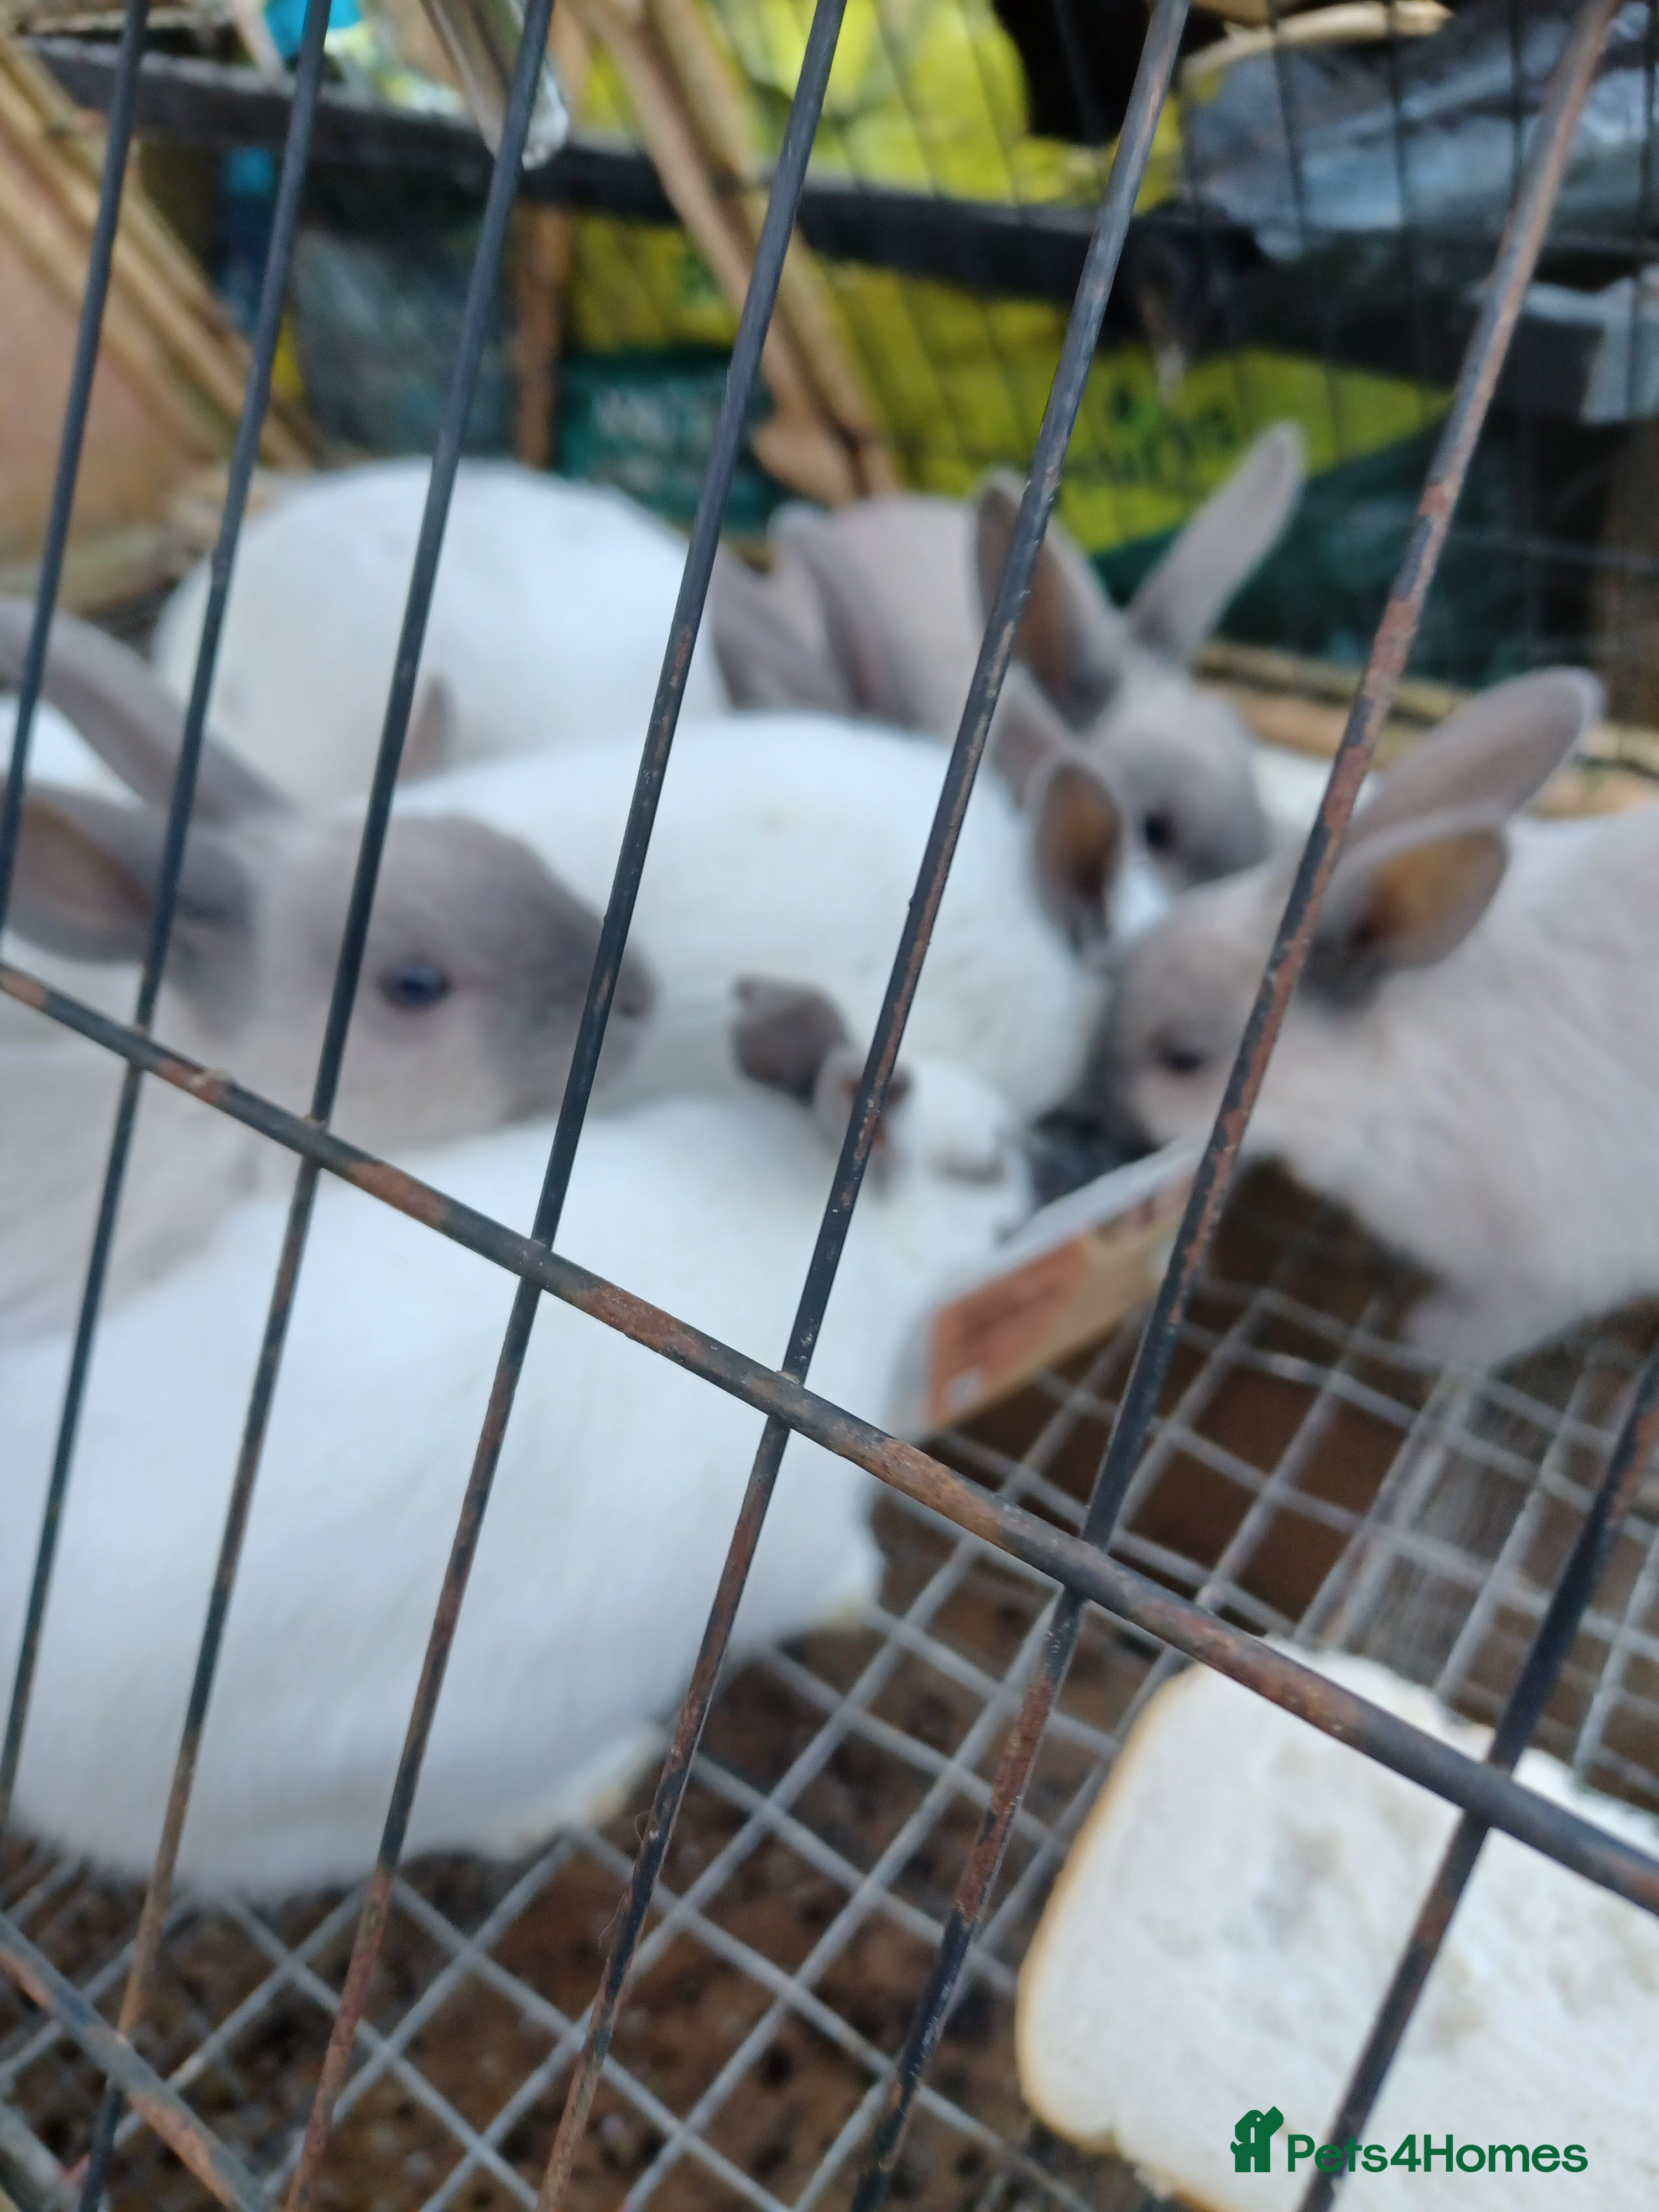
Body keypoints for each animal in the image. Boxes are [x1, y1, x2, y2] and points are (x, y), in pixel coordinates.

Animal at [3, 985, 1030, 1895]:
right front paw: (862, 1593)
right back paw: (596, 1780)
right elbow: (825, 1575)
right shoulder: (791, 1535)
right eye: (979, 1171)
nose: (1038, 1161)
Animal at [1075, 665, 1647, 1368]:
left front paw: (1438, 1337)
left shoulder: (1566, 1254)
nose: (1094, 1102)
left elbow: (1525, 1313)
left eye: (1183, 1059)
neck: (1402, 1085)